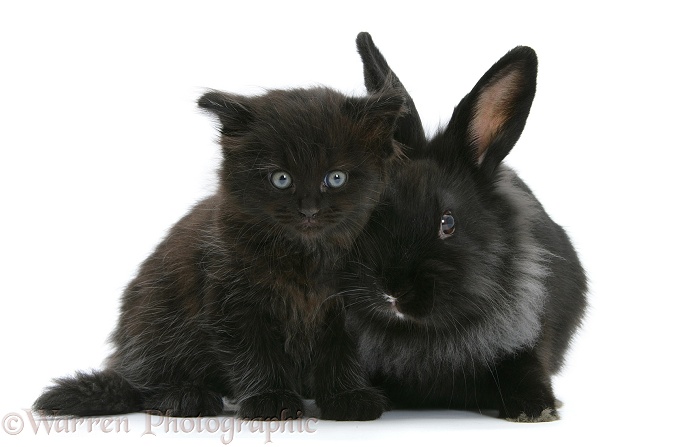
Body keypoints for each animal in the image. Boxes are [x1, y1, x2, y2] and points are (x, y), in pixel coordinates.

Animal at [32, 86, 406, 422]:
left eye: (336, 177)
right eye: (281, 179)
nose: (309, 210)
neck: (305, 259)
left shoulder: (349, 307)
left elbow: (344, 354)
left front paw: (348, 396)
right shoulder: (232, 301)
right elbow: (255, 354)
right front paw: (270, 400)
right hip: (155, 316)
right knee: (145, 384)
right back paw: (185, 396)